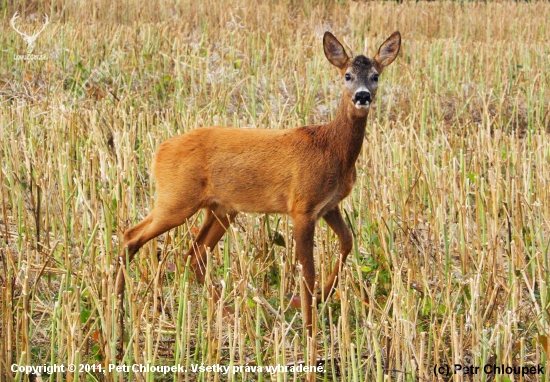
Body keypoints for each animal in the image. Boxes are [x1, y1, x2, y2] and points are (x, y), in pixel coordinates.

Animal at [117, 31, 402, 346]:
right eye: (347, 75)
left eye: (376, 75)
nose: (362, 96)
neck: (331, 148)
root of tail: (159, 152)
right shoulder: (301, 206)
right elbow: (307, 270)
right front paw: (310, 330)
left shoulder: (328, 205)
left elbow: (347, 241)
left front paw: (322, 297)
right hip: (176, 198)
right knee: (132, 236)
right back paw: (119, 315)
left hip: (221, 209)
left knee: (194, 255)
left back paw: (234, 316)